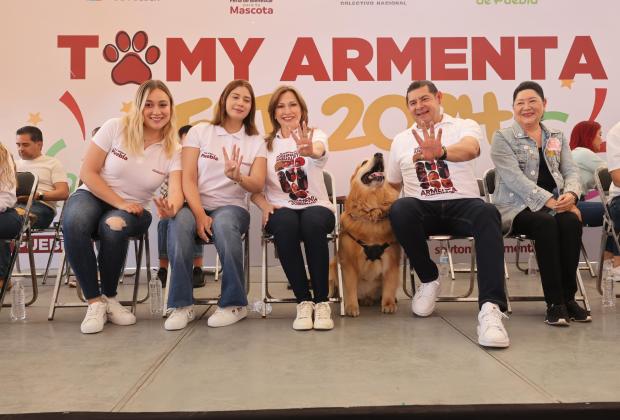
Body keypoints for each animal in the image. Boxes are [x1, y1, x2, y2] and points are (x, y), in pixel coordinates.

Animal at [332, 153, 400, 316]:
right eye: (363, 162)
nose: (379, 154)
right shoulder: (348, 262)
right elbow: (350, 287)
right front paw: (351, 307)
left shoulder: (392, 260)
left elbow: (389, 285)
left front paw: (388, 304)